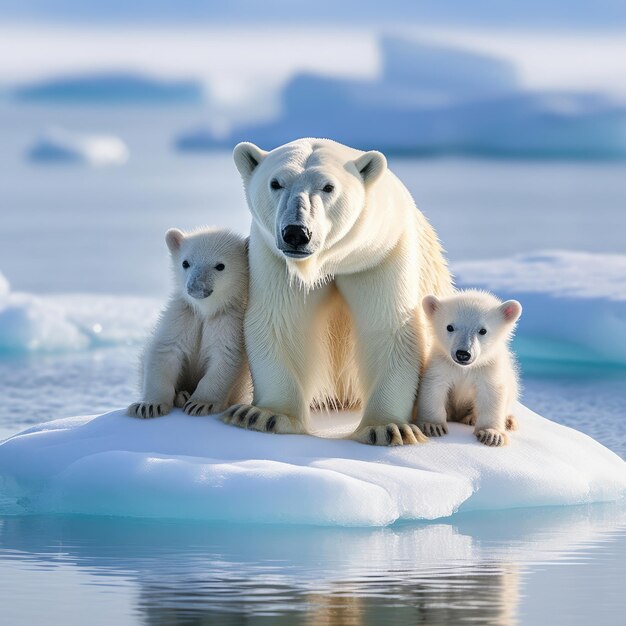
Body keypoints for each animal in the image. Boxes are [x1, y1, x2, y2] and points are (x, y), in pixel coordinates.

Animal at [125, 227, 250, 416]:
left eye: (220, 266)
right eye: (185, 263)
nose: (195, 287)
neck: (205, 311)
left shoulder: (229, 322)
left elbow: (225, 357)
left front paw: (200, 404)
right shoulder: (183, 317)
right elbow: (165, 352)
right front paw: (149, 406)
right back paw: (181, 395)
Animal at [222, 137, 450, 444]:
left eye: (328, 187)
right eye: (276, 183)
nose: (296, 233)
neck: (333, 260)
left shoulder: (380, 255)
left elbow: (390, 329)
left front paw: (387, 428)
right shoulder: (277, 261)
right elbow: (280, 322)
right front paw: (264, 415)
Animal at [414, 290, 520, 446]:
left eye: (483, 330)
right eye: (449, 327)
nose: (463, 354)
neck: (464, 368)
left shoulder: (488, 368)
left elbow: (491, 393)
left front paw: (491, 435)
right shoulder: (442, 364)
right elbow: (434, 387)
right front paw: (433, 426)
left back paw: (506, 421)